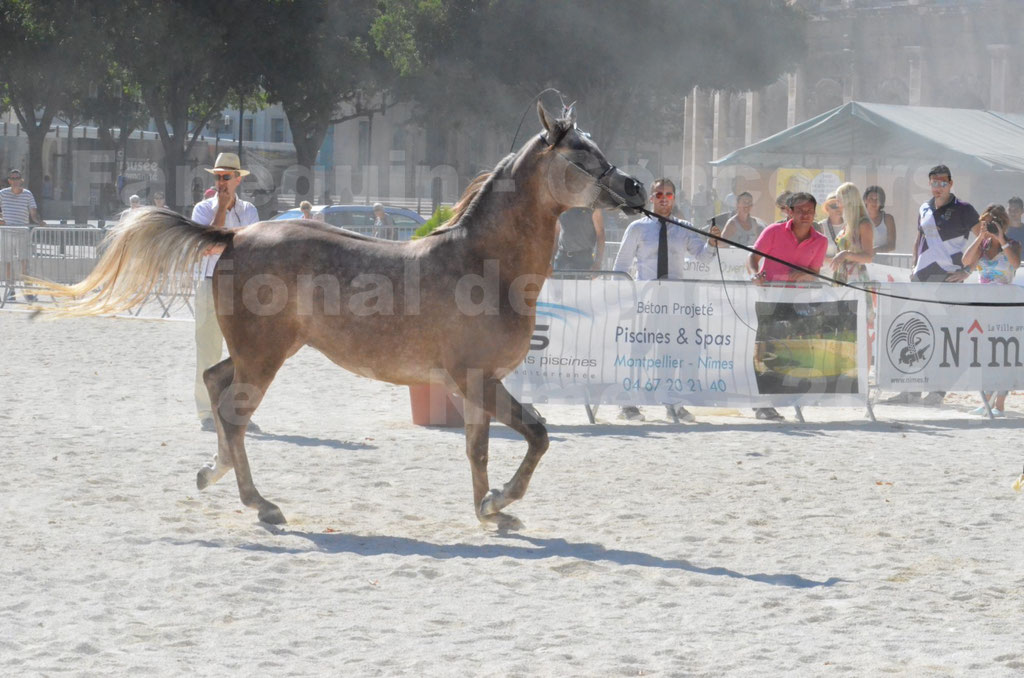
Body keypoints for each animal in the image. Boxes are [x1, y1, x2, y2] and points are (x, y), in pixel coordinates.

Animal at [37, 106, 647, 528]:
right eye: (581, 154)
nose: (634, 187)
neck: (483, 264)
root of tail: (234, 235)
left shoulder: (479, 384)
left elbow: (479, 449)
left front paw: (489, 510)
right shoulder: (478, 379)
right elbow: (537, 435)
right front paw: (500, 501)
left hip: (260, 352)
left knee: (215, 384)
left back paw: (214, 472)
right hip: (264, 358)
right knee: (233, 414)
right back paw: (260, 503)